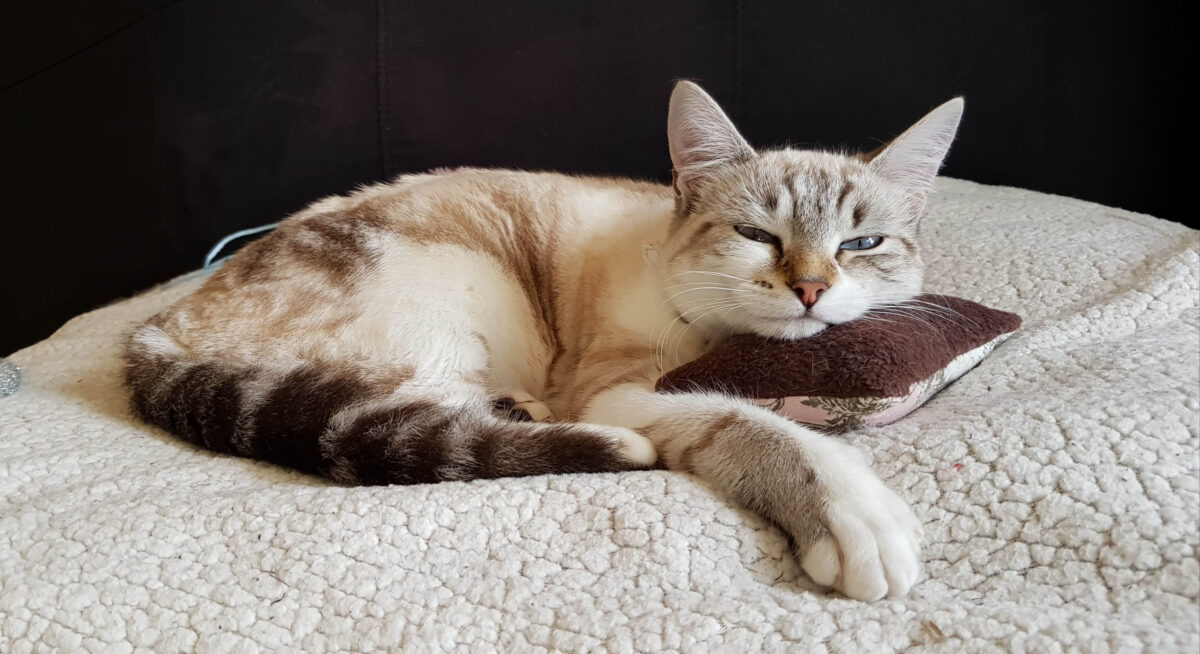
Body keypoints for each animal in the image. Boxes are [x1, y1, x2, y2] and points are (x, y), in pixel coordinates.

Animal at [124, 82, 964, 602]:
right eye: (757, 236)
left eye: (861, 243)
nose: (811, 288)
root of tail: (156, 325)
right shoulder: (616, 394)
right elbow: (759, 424)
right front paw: (853, 516)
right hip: (466, 282)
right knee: (410, 422)